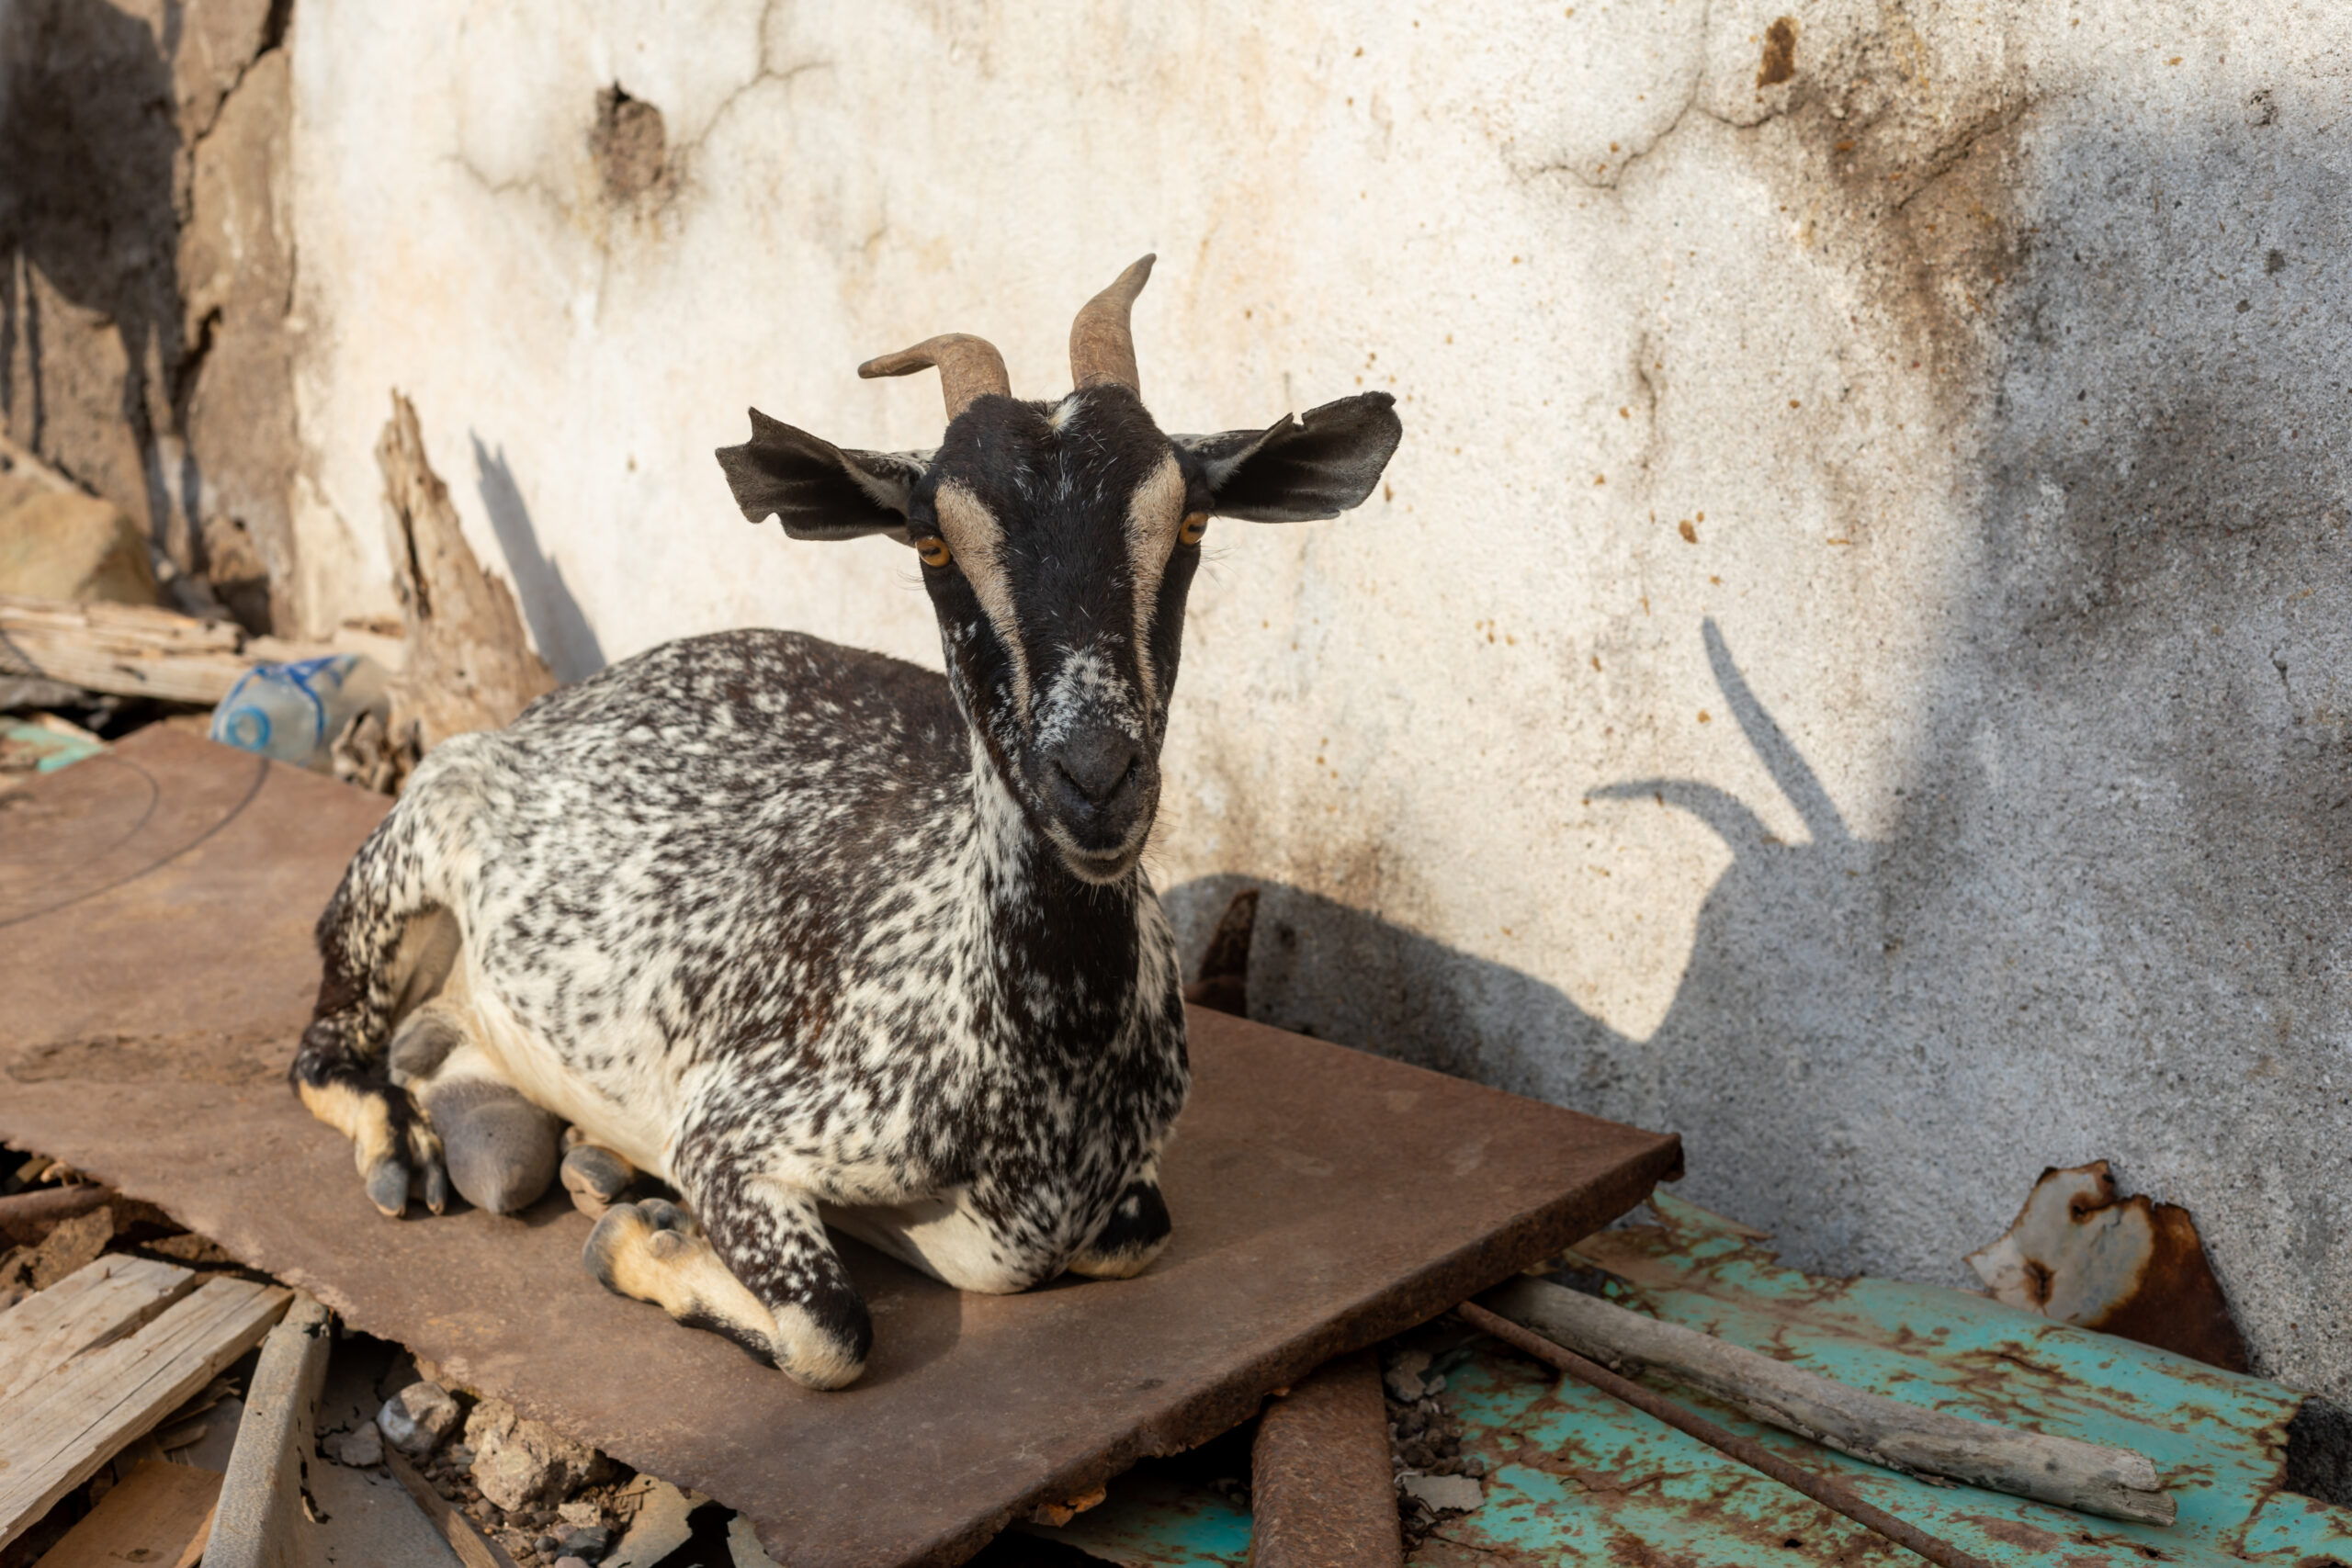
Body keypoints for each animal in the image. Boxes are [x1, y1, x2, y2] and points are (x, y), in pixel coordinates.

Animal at [287, 263, 1401, 1392]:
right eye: (933, 540)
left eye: (1190, 525)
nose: (1095, 779)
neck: (1038, 1068)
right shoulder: (736, 1128)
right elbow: (830, 1333)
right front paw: (644, 1238)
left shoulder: (1118, 1203)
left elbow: (1135, 1236)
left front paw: (631, 1204)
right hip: (414, 841)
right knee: (325, 1049)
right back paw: (412, 1152)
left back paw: (569, 1151)